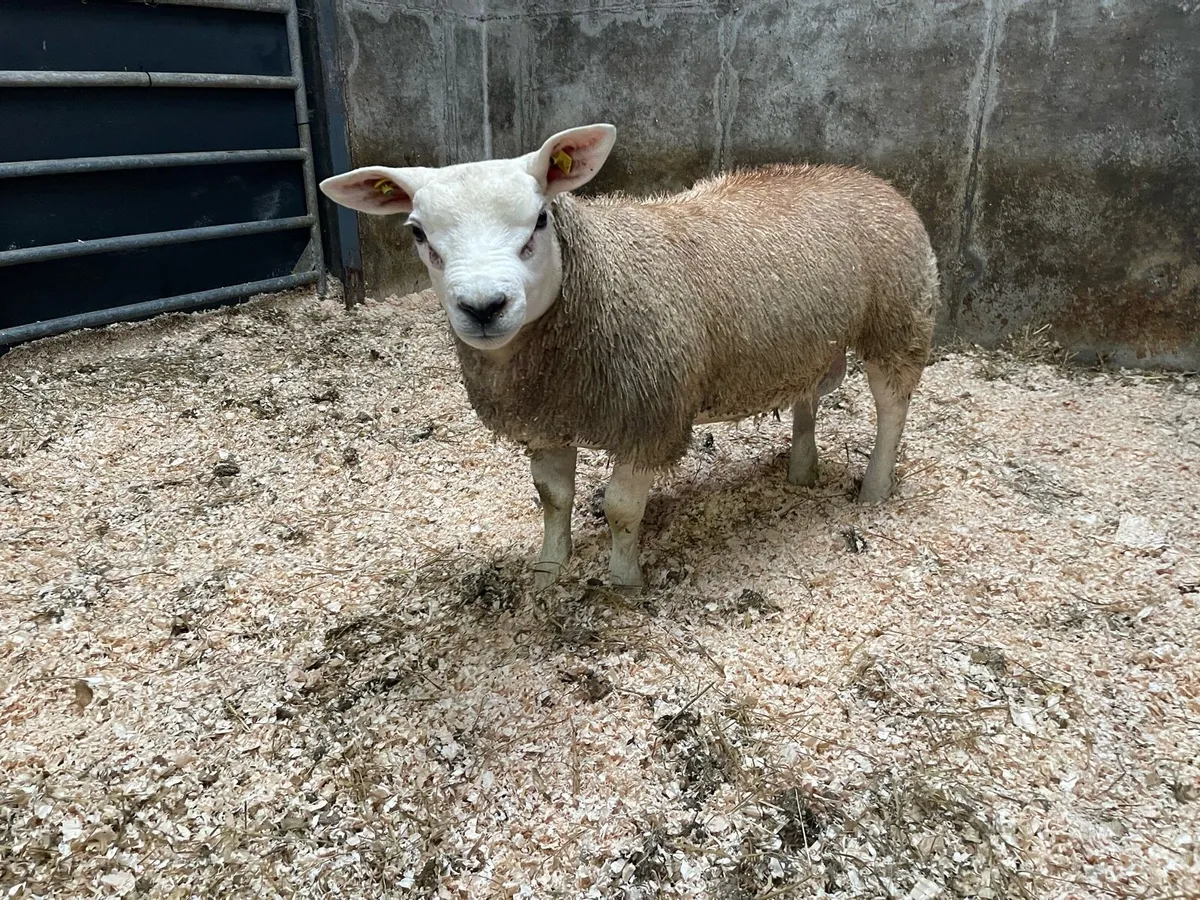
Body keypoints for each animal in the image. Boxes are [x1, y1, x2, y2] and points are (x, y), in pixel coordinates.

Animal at [319, 123, 938, 588]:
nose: (483, 306)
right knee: (809, 395)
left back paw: (874, 489)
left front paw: (623, 582)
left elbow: (619, 508)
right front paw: (549, 569)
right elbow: (552, 498)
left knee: (892, 407)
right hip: (809, 342)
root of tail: (866, 176)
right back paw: (801, 472)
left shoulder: (650, 417)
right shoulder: (546, 419)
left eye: (539, 220)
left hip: (900, 320)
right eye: (418, 233)